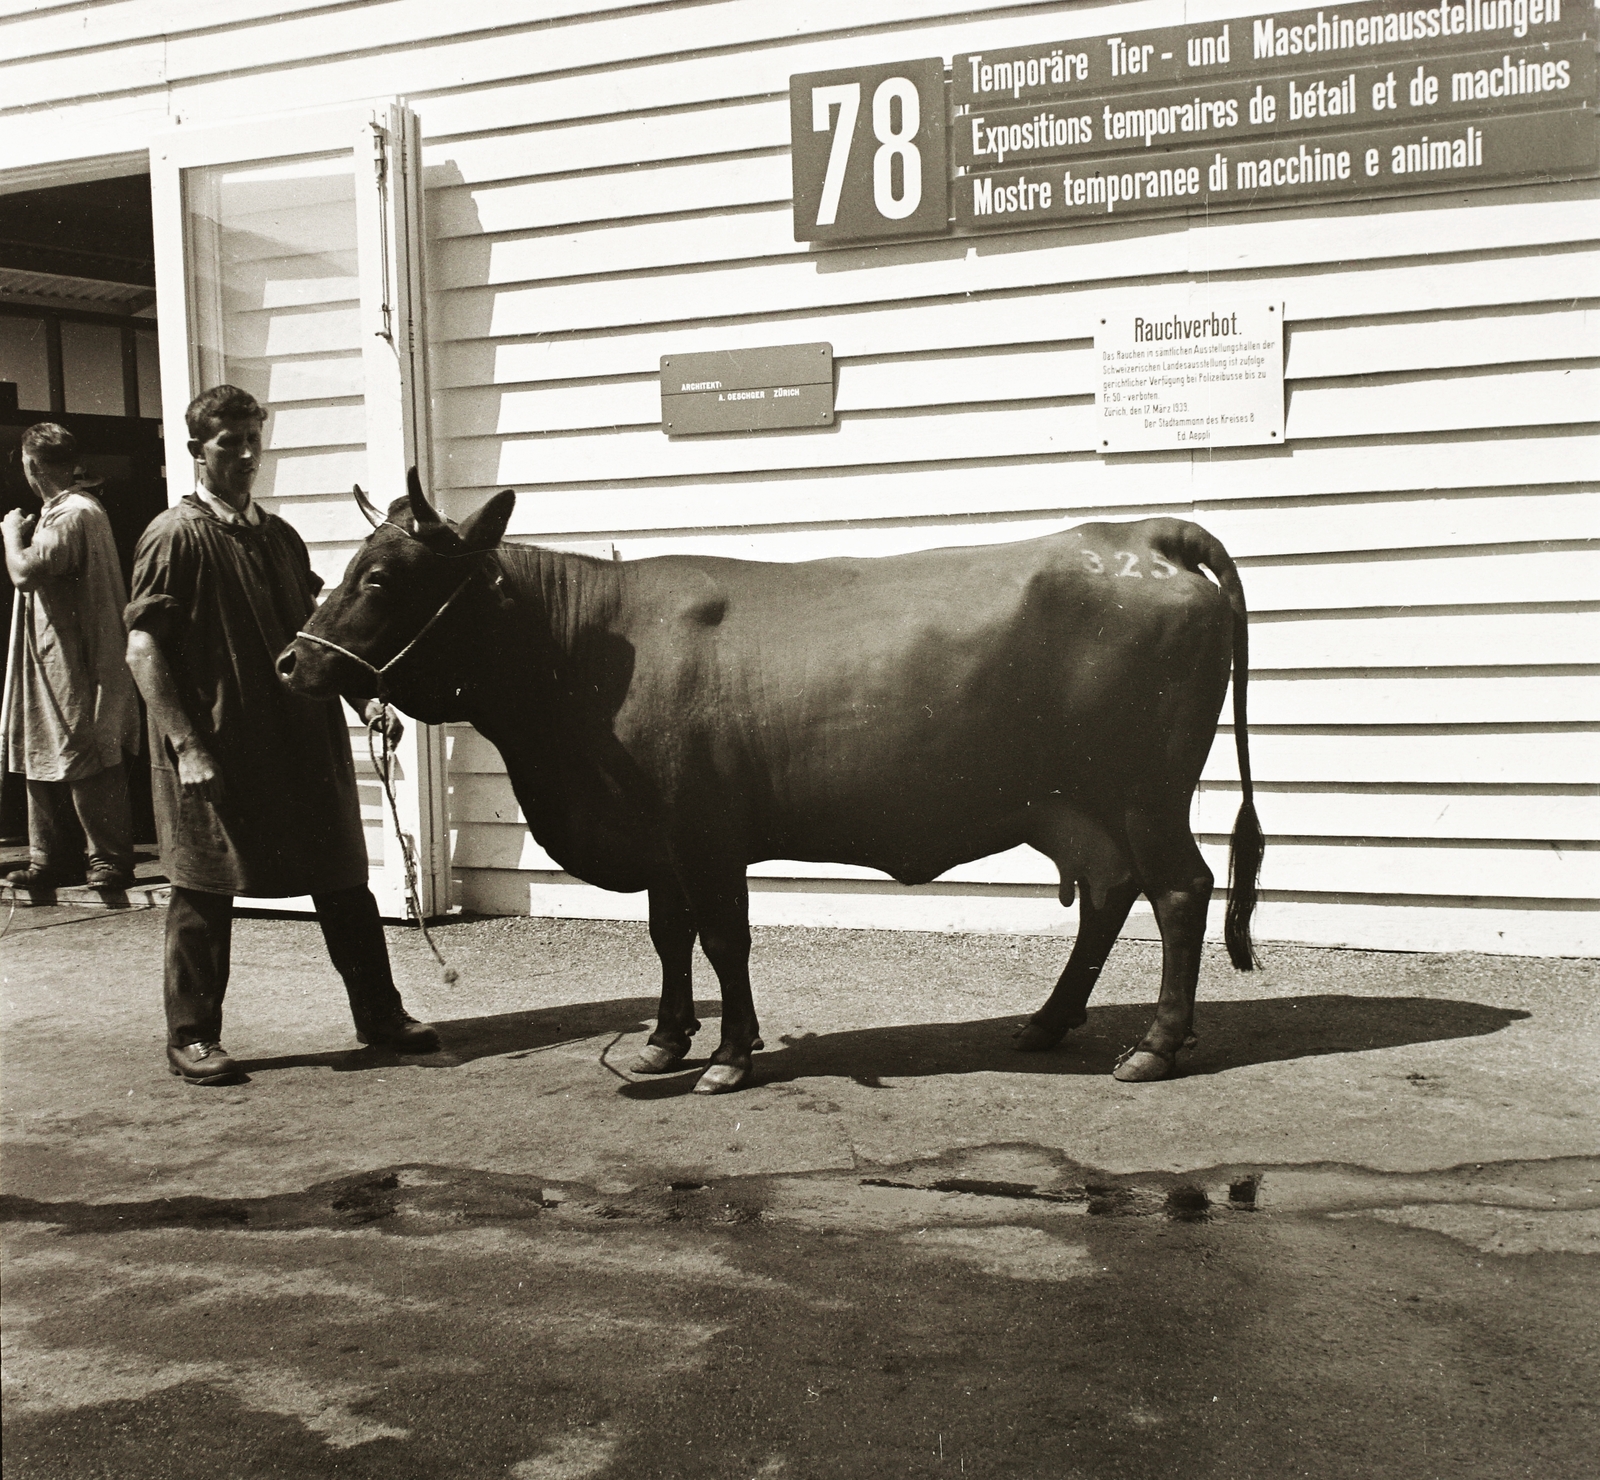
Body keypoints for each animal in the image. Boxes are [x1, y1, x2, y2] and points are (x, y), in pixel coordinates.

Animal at [281, 476, 1267, 1094]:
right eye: (342, 567)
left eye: (381, 576)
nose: (292, 661)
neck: (585, 652)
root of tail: (1142, 535)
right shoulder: (661, 841)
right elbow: (669, 936)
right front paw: (664, 1042)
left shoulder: (703, 832)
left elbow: (724, 941)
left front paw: (727, 1056)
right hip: (1072, 802)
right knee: (1109, 891)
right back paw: (1050, 1021)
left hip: (1144, 790)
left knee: (1181, 890)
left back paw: (1155, 1046)